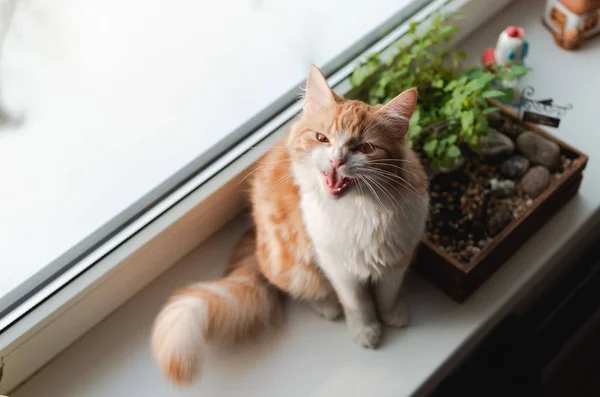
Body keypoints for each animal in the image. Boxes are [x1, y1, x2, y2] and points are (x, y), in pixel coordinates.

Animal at [152, 65, 428, 384]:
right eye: (322, 138)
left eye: (364, 147)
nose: (336, 160)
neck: (362, 210)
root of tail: (255, 231)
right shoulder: (337, 266)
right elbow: (358, 304)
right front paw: (366, 331)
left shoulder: (397, 257)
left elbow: (387, 295)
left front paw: (391, 315)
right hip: (292, 266)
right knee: (302, 288)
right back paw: (327, 306)